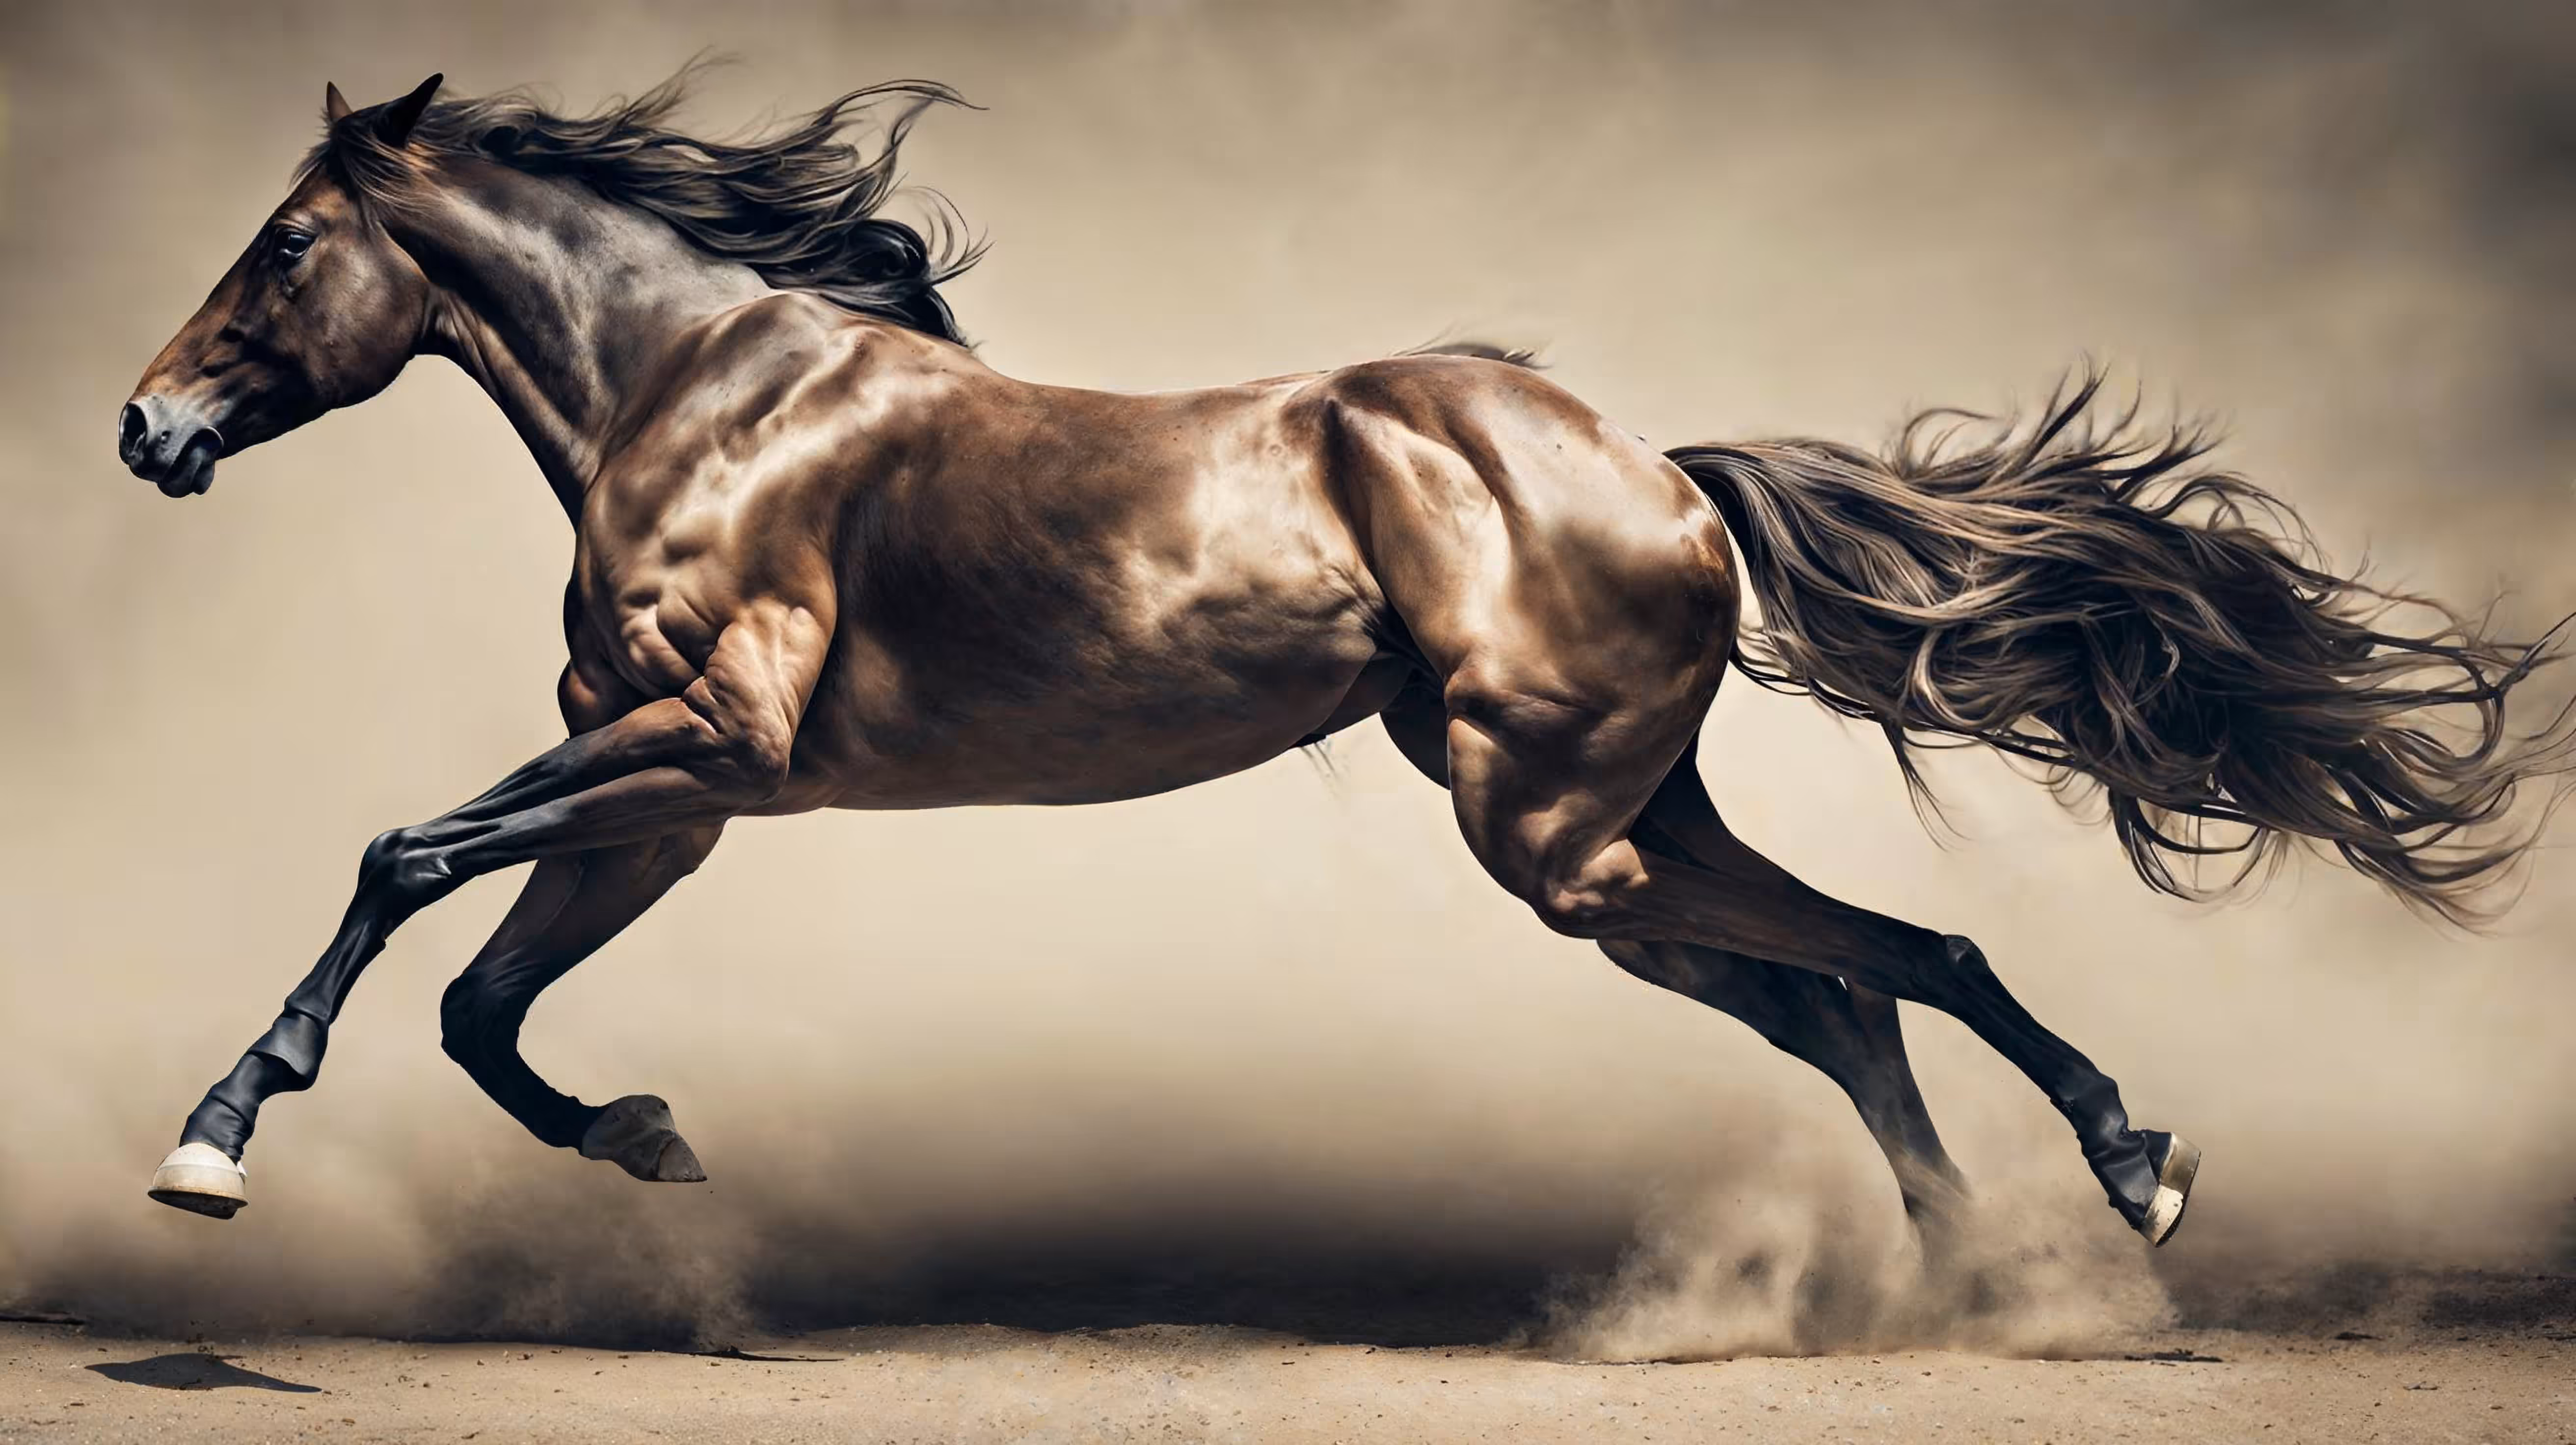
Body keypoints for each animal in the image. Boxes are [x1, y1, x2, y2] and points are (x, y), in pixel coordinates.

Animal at [121, 70, 2576, 1253]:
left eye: (285, 245)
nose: (145, 431)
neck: (700, 397)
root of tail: (1660, 473)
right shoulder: (681, 796)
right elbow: (477, 994)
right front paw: (646, 1142)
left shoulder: (697, 741)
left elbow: (397, 862)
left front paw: (216, 1139)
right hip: (1602, 850)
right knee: (1848, 998)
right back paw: (1969, 1272)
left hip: (1563, 844)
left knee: (1911, 958)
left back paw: (2127, 1174)